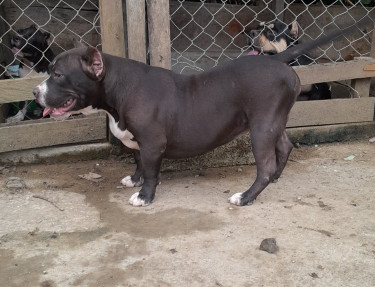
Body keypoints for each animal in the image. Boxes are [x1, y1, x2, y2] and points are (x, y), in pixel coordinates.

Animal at [34, 23, 358, 207]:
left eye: (58, 74)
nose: (35, 92)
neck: (116, 85)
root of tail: (278, 60)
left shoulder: (153, 143)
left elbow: (151, 171)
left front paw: (144, 196)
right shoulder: (139, 142)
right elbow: (138, 161)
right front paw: (135, 180)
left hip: (261, 128)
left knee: (264, 166)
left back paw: (246, 197)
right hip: (274, 122)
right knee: (285, 146)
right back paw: (277, 177)